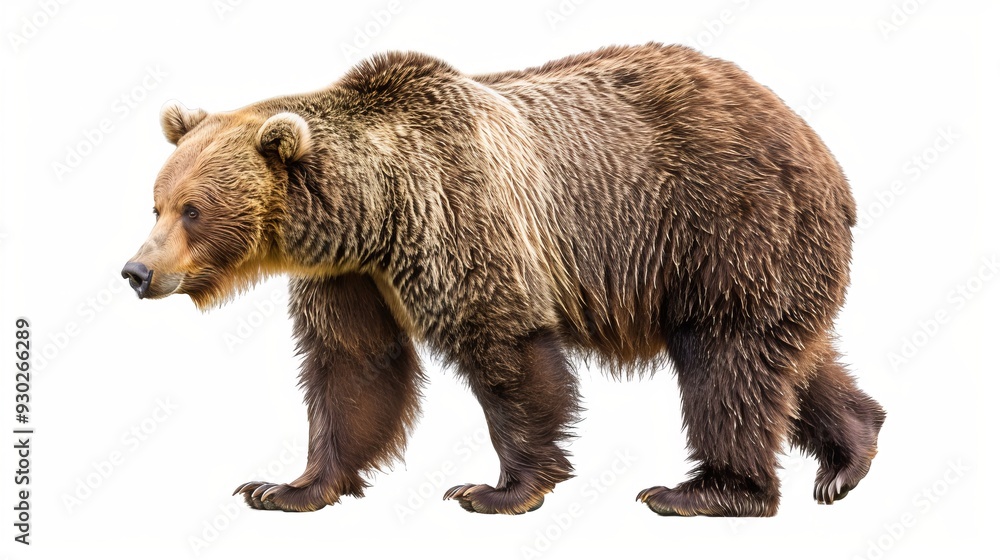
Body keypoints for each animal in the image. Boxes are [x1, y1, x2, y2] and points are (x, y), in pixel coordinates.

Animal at [122, 43, 886, 516]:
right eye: (156, 202)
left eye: (194, 208)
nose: (136, 270)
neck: (373, 212)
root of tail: (820, 148)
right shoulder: (350, 275)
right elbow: (352, 367)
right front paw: (285, 486)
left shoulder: (460, 215)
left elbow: (505, 350)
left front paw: (498, 490)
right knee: (789, 358)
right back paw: (849, 456)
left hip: (726, 225)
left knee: (726, 359)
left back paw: (701, 492)